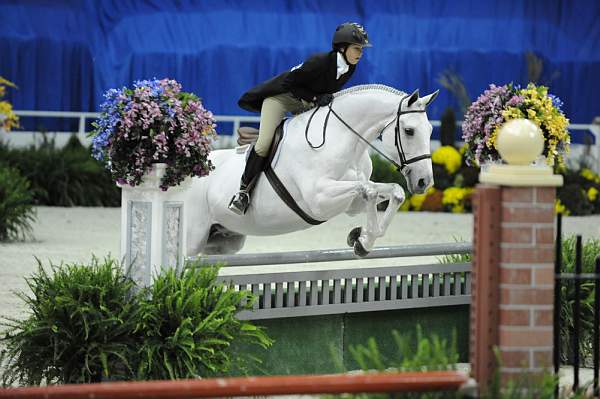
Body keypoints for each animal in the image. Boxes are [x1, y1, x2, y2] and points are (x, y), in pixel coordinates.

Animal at [185, 86, 438, 258]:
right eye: (409, 131)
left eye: (430, 130)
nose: (424, 181)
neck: (344, 139)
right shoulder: (319, 199)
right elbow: (369, 190)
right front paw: (362, 241)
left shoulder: (352, 203)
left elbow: (393, 191)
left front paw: (361, 237)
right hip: (192, 238)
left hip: (222, 241)